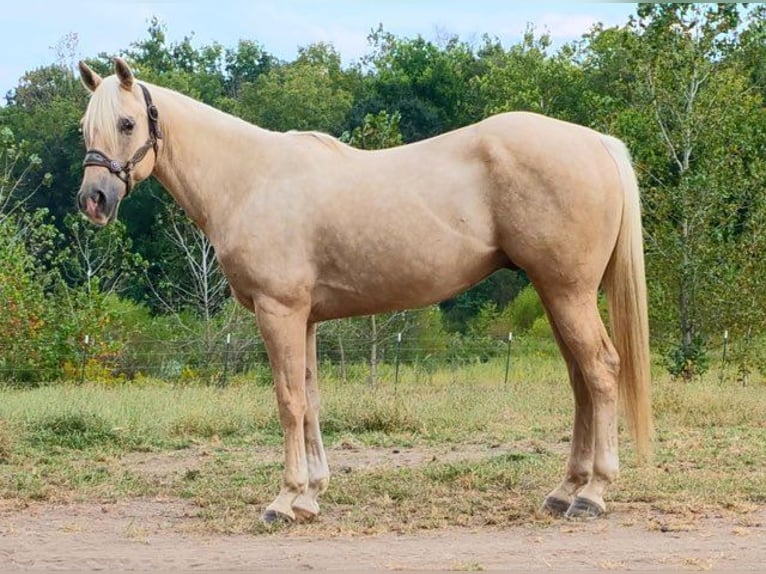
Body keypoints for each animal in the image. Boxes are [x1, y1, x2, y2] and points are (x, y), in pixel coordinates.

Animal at [76, 58, 652, 523]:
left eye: (127, 123)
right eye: (85, 128)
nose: (93, 200)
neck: (250, 181)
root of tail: (595, 142)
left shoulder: (278, 311)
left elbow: (287, 399)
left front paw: (284, 500)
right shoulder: (304, 318)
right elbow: (310, 398)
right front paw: (310, 496)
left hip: (568, 292)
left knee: (601, 370)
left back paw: (593, 494)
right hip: (559, 295)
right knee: (581, 381)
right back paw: (565, 490)